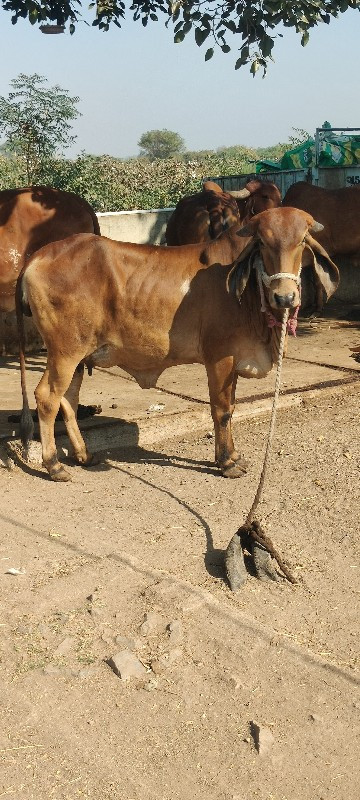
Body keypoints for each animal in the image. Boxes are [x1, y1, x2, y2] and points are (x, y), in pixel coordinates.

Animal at [16, 206, 338, 482]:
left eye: (301, 241)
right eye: (263, 242)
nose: (284, 297)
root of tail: (36, 257)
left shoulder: (233, 360)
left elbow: (231, 407)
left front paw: (233, 455)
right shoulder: (219, 357)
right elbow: (222, 410)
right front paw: (227, 463)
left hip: (77, 355)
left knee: (68, 399)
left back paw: (84, 455)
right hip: (65, 351)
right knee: (47, 398)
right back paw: (54, 465)